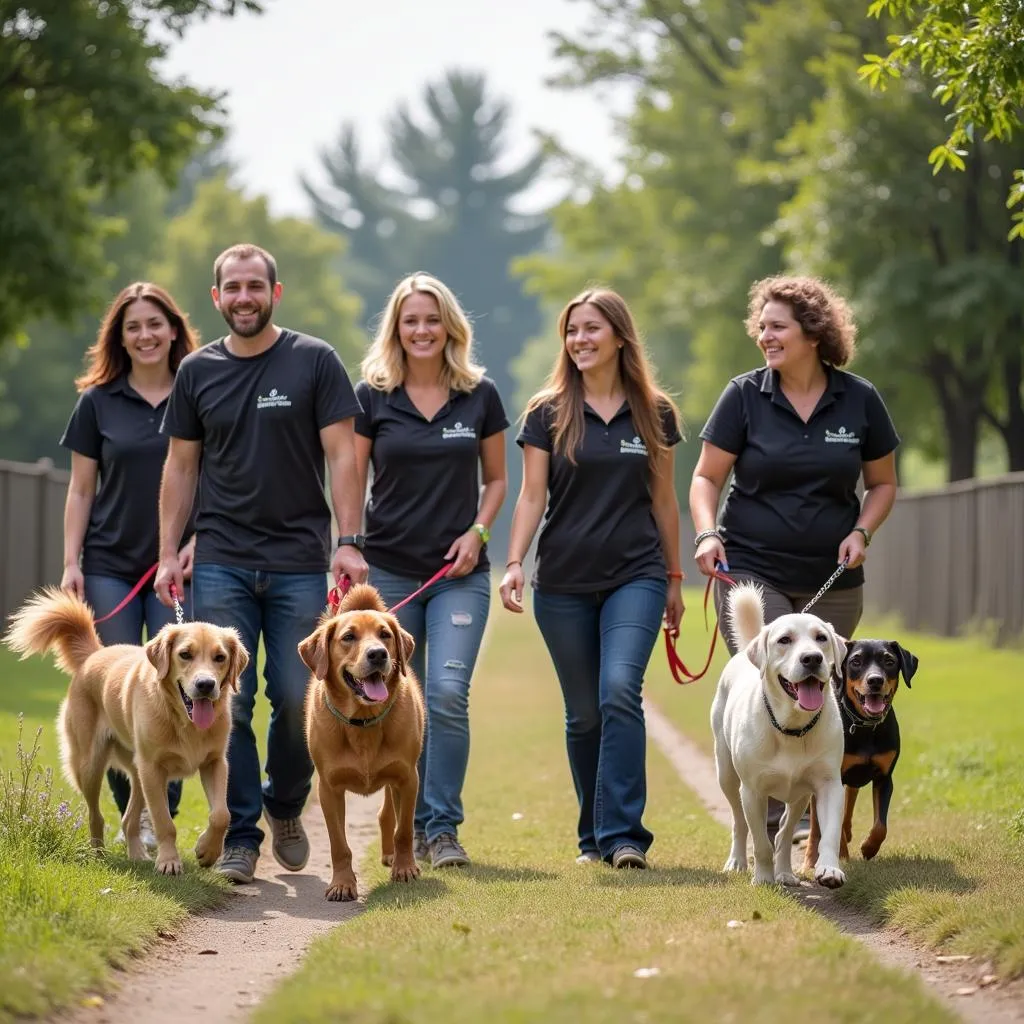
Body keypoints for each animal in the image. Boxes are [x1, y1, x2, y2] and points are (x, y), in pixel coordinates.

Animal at [802, 638, 917, 872]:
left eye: (889, 661)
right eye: (856, 661)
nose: (875, 680)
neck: (864, 726)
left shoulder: (884, 777)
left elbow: (881, 825)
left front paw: (869, 848)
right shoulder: (832, 778)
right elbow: (828, 823)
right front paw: (840, 855)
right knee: (816, 825)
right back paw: (810, 858)